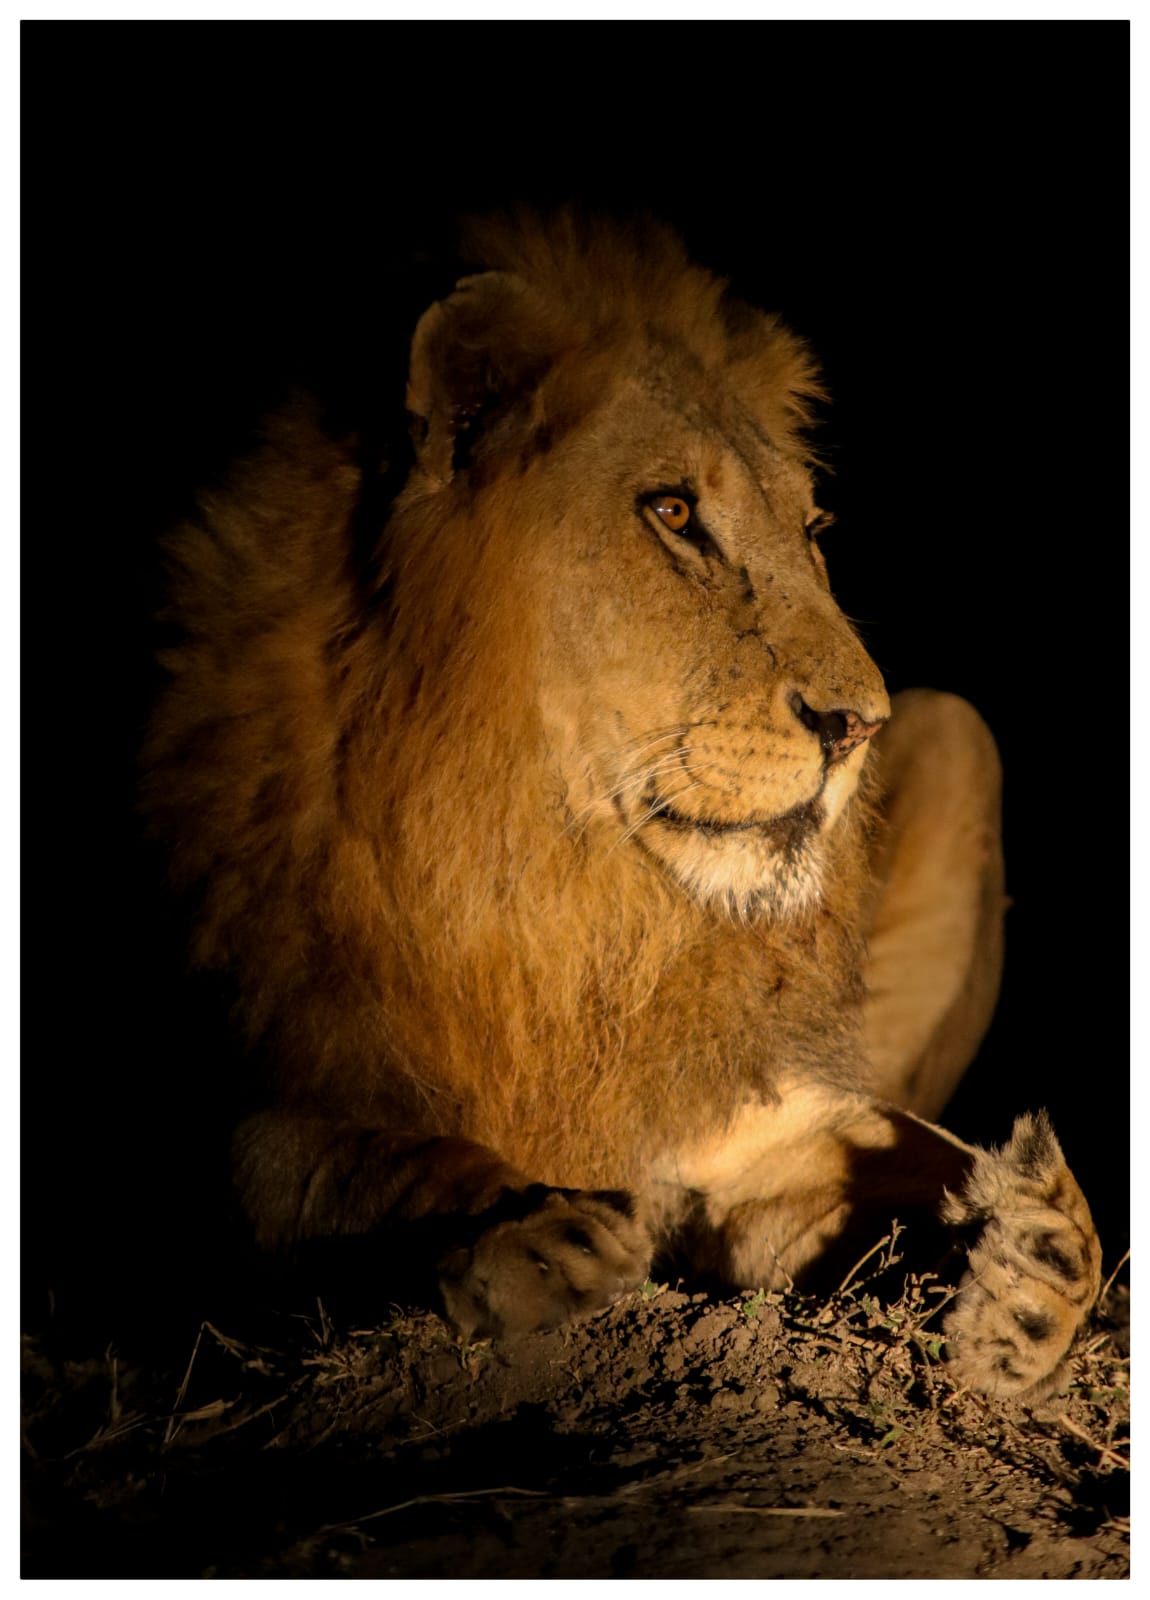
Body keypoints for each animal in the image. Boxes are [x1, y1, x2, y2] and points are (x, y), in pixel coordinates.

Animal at [139, 209, 1100, 1388]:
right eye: (673, 512)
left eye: (812, 530)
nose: (857, 726)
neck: (554, 872)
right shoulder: (262, 1101)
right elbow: (352, 1160)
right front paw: (523, 1231)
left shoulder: (736, 1122)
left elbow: (908, 1147)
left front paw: (1036, 1262)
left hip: (965, 734)